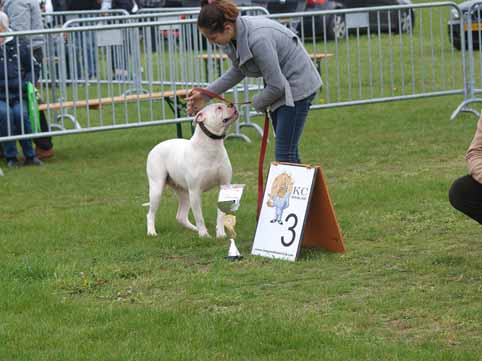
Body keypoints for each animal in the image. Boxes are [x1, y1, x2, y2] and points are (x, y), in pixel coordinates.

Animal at [146, 101, 238, 238]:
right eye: (219, 108)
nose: (232, 104)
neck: (211, 146)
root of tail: (155, 147)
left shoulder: (225, 185)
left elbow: (220, 214)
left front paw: (220, 234)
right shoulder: (195, 191)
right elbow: (199, 216)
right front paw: (204, 235)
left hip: (184, 193)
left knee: (181, 216)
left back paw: (194, 229)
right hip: (157, 188)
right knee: (151, 213)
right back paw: (152, 232)